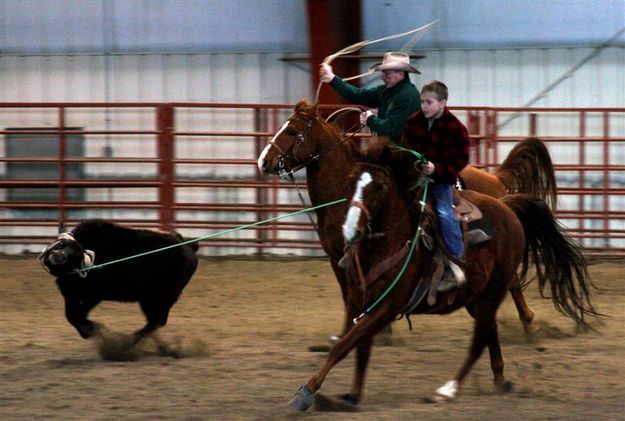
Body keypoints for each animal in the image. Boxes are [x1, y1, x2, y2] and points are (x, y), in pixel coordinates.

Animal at [258, 100, 556, 336]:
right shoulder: (337, 258)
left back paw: (529, 322)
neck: (345, 192)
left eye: (292, 131)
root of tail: (497, 180)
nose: (263, 161)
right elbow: (349, 295)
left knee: (512, 281)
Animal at [288, 143, 596, 408]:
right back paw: (499, 379)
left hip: (493, 291)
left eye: (379, 186)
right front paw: (351, 395)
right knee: (489, 332)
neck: (390, 243)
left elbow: (343, 346)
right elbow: (358, 348)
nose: (350, 230)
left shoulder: (387, 307)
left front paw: (306, 392)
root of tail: (508, 207)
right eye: (351, 181)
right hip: (476, 297)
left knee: (479, 340)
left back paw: (448, 390)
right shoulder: (362, 302)